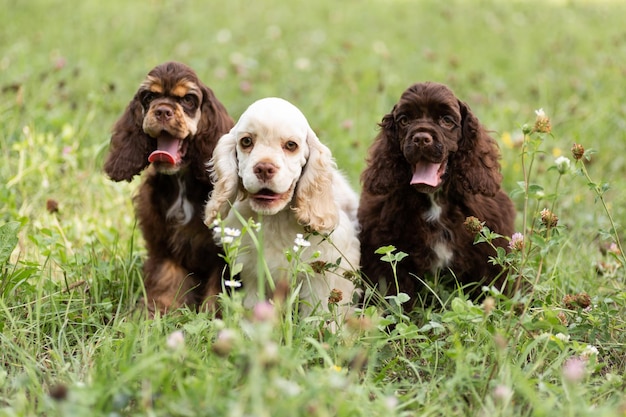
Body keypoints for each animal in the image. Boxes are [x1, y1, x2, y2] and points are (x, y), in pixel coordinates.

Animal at [103, 61, 233, 314]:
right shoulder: (162, 241)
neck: (181, 181)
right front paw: (156, 311)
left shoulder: (221, 250)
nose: (162, 111)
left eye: (188, 99)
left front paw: (214, 315)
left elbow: (218, 286)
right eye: (149, 96)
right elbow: (166, 278)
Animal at [205, 97, 360, 322]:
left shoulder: (324, 276)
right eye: (246, 142)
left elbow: (322, 314)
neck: (275, 219)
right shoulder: (253, 274)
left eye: (291, 145)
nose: (264, 168)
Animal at [358, 82, 516, 302]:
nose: (421, 138)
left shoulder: (487, 253)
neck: (435, 201)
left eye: (446, 120)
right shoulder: (386, 254)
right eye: (404, 120)